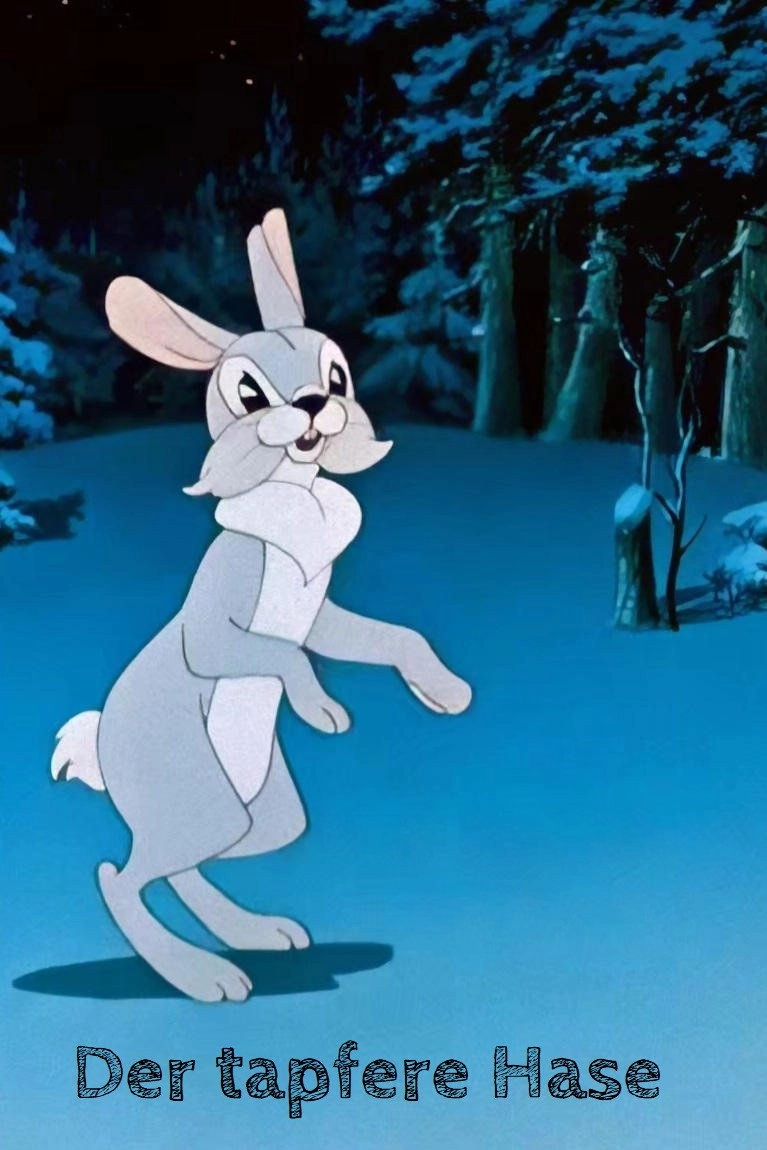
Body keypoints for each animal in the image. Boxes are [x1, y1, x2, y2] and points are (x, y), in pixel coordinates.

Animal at [51, 209, 472, 1002]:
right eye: (247, 393)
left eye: (336, 373)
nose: (315, 404)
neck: (292, 498)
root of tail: (98, 748)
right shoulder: (219, 618)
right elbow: (272, 652)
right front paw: (323, 710)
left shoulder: (323, 614)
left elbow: (390, 637)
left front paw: (446, 692)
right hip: (202, 799)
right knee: (119, 877)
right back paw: (203, 977)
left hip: (264, 814)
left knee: (182, 867)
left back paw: (257, 938)